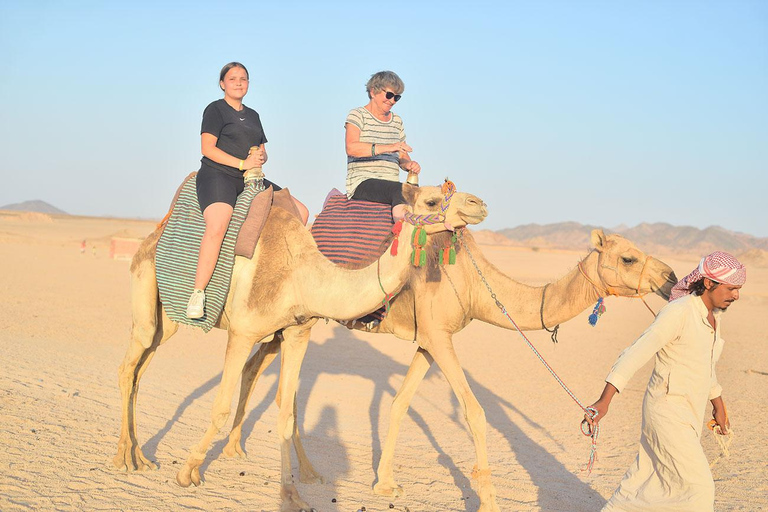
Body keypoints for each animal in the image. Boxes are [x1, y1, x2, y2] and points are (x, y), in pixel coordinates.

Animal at [114, 180, 486, 512]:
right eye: (431, 200)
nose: (478, 204)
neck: (302, 276)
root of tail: (151, 238)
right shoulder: (242, 333)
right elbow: (220, 407)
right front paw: (188, 471)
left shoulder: (297, 332)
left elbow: (286, 414)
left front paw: (292, 496)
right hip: (146, 292)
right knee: (128, 367)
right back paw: (124, 459)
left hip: (169, 321)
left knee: (141, 369)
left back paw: (141, 456)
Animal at [224, 229, 680, 512]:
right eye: (628, 257)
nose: (671, 275)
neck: (476, 284)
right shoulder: (440, 337)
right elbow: (475, 412)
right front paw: (490, 501)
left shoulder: (429, 340)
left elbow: (400, 403)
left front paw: (384, 483)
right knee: (267, 371)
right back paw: (249, 456)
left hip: (298, 318)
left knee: (259, 367)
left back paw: (264, 458)